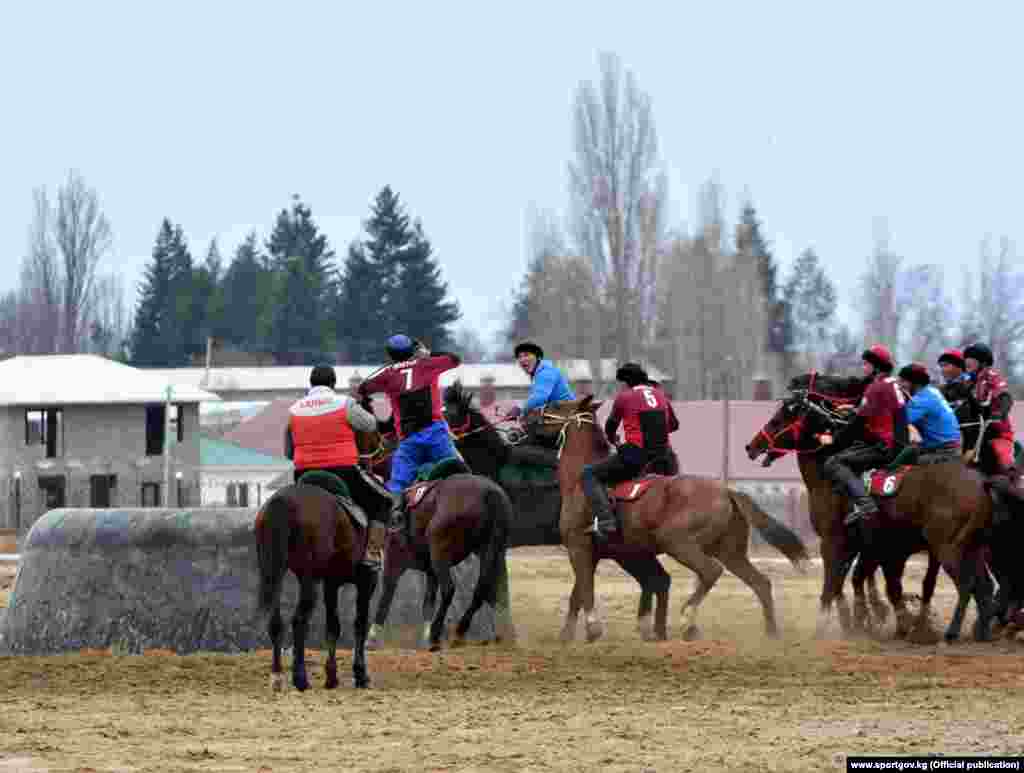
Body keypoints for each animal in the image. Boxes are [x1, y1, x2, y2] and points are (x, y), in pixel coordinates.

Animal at [444, 380, 675, 642]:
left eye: (451, 410)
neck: (494, 469)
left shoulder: (497, 547)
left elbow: (496, 590)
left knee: (652, 581)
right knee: (655, 580)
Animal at [528, 395, 806, 642]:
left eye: (555, 405)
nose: (527, 414)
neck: (579, 480)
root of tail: (726, 491)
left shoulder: (579, 547)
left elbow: (585, 589)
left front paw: (593, 628)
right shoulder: (592, 552)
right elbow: (578, 592)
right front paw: (566, 635)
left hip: (679, 543)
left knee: (711, 571)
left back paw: (687, 618)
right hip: (730, 552)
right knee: (761, 583)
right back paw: (771, 633)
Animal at [745, 372, 991, 642]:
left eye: (779, 418)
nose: (752, 446)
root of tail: (979, 483)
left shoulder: (835, 540)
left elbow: (834, 582)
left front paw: (832, 623)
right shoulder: (871, 546)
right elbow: (857, 581)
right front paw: (864, 621)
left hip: (948, 547)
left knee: (966, 585)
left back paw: (951, 631)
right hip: (970, 547)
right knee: (982, 585)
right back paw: (980, 629)